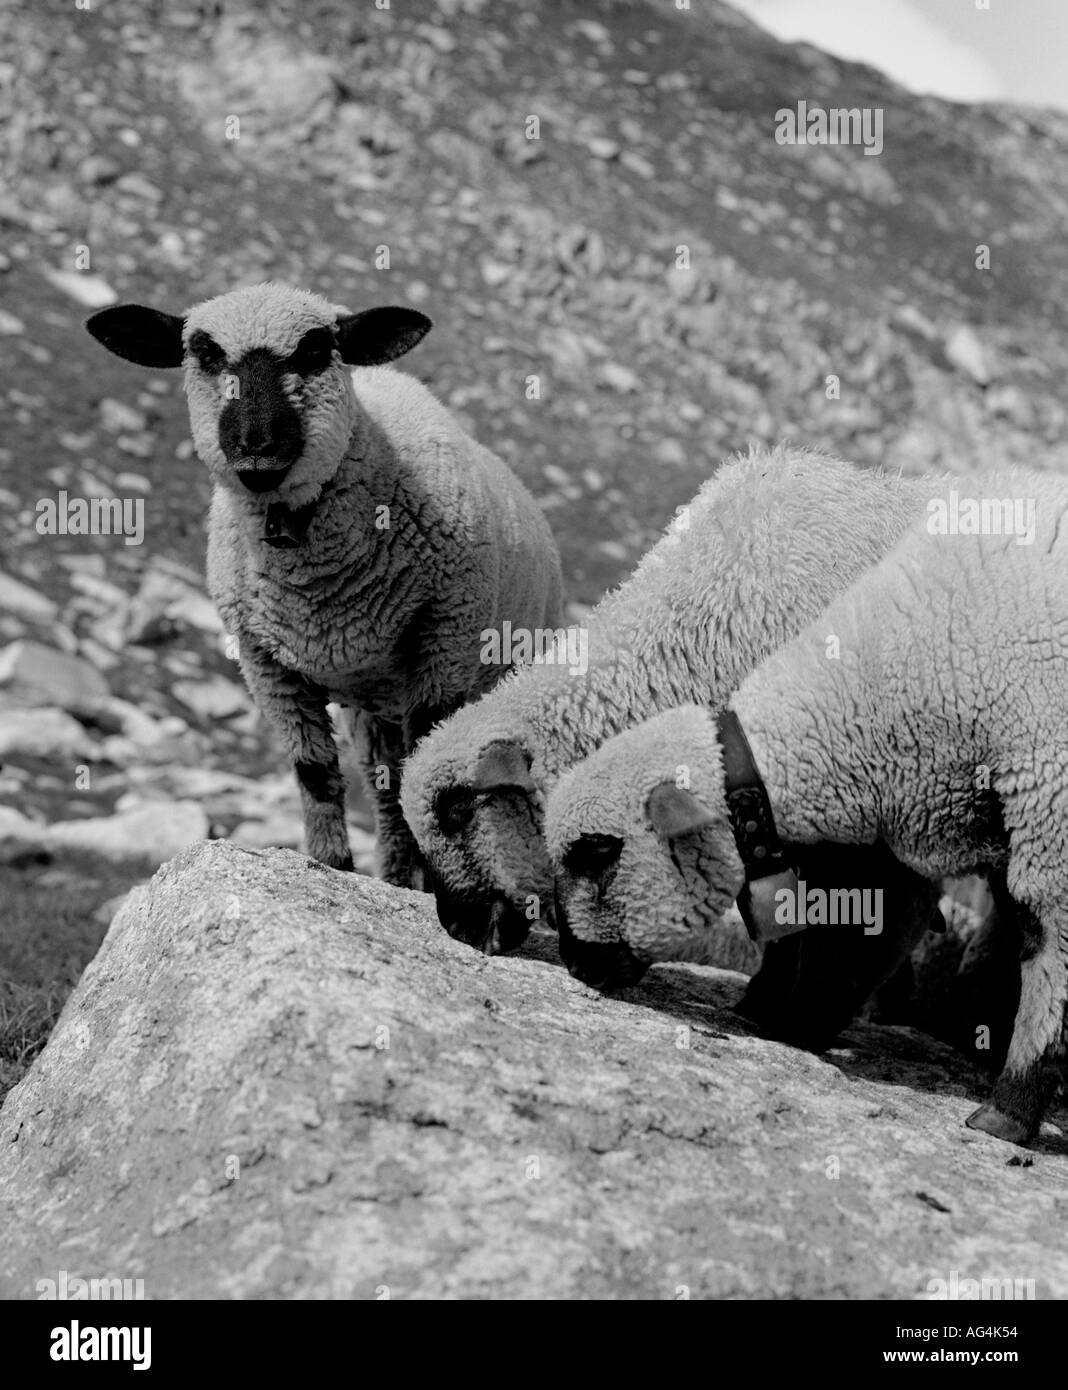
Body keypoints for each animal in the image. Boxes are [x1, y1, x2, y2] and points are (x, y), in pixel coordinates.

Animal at [86, 281, 563, 883]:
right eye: (205, 354)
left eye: (314, 350)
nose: (257, 450)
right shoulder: (266, 665)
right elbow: (314, 775)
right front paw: (331, 867)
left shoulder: (444, 643)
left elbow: (430, 775)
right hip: (374, 709)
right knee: (386, 790)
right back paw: (397, 876)